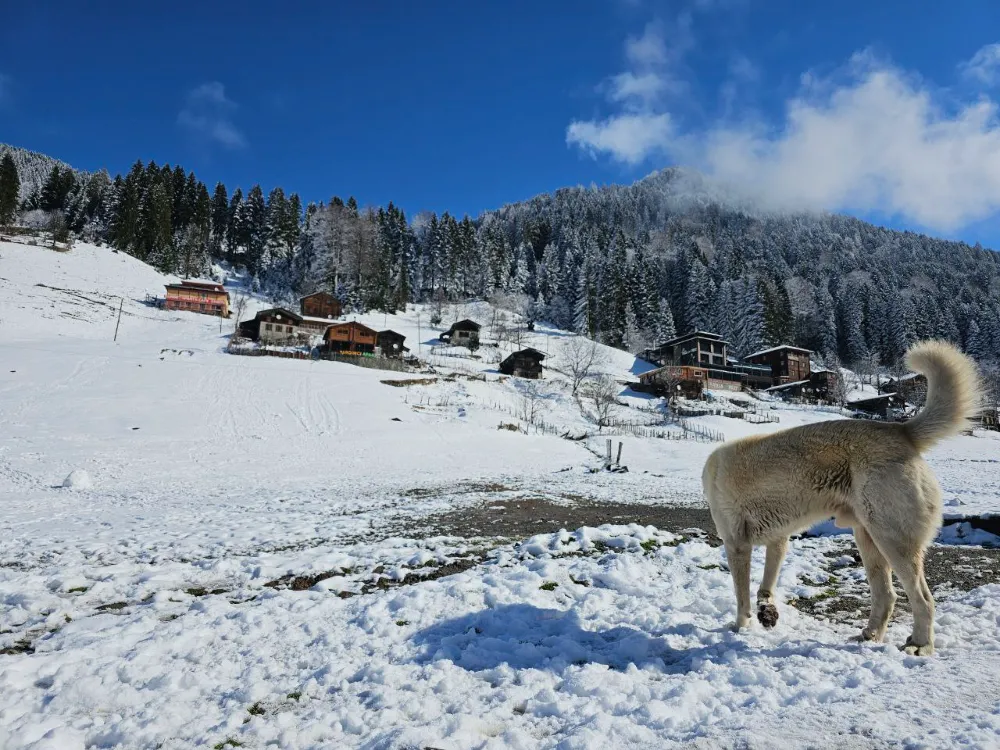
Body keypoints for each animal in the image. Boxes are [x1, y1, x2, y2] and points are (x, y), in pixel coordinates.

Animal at [700, 340, 980, 656]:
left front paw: (740, 627)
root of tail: (901, 430)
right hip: (868, 539)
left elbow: (741, 596)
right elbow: (765, 586)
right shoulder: (778, 540)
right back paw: (870, 635)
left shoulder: (736, 544)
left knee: (922, 598)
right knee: (887, 595)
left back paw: (920, 645)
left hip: (893, 540)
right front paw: (766, 611)